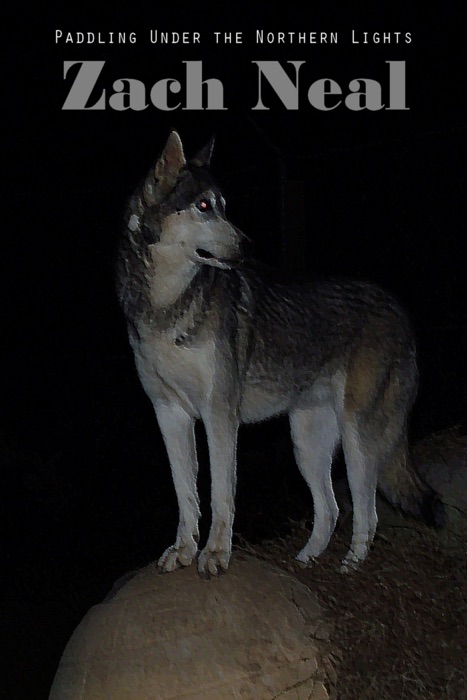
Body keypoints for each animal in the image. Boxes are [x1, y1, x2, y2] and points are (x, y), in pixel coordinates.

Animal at [116, 130, 438, 576]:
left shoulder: (219, 416)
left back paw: (350, 566)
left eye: (224, 205)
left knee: (366, 510)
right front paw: (183, 550)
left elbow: (220, 495)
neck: (168, 304)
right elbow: (186, 495)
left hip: (358, 437)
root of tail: (399, 310)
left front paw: (215, 554)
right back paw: (305, 564)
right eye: (204, 206)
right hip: (306, 442)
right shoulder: (170, 414)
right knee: (331, 510)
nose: (249, 246)